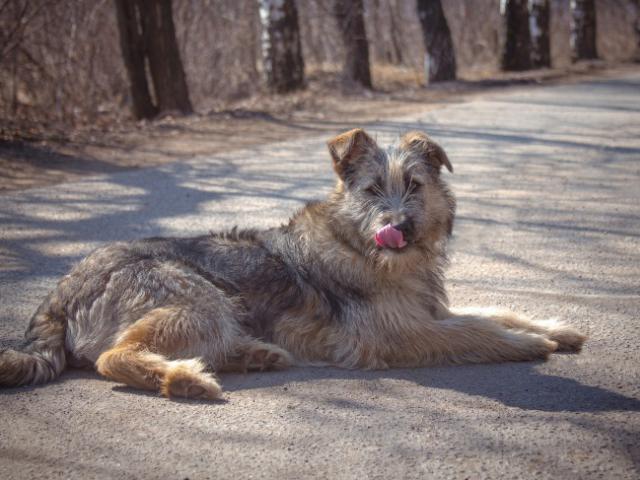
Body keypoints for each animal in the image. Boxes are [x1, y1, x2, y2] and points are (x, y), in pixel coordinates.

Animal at [0, 129, 584, 400]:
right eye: (373, 190)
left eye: (415, 186)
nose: (397, 226)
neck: (358, 244)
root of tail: (58, 293)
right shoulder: (393, 334)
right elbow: (473, 332)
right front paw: (526, 343)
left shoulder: (428, 311)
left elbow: (492, 310)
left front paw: (552, 327)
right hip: (198, 298)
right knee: (113, 357)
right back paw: (186, 379)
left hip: (213, 310)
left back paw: (254, 355)